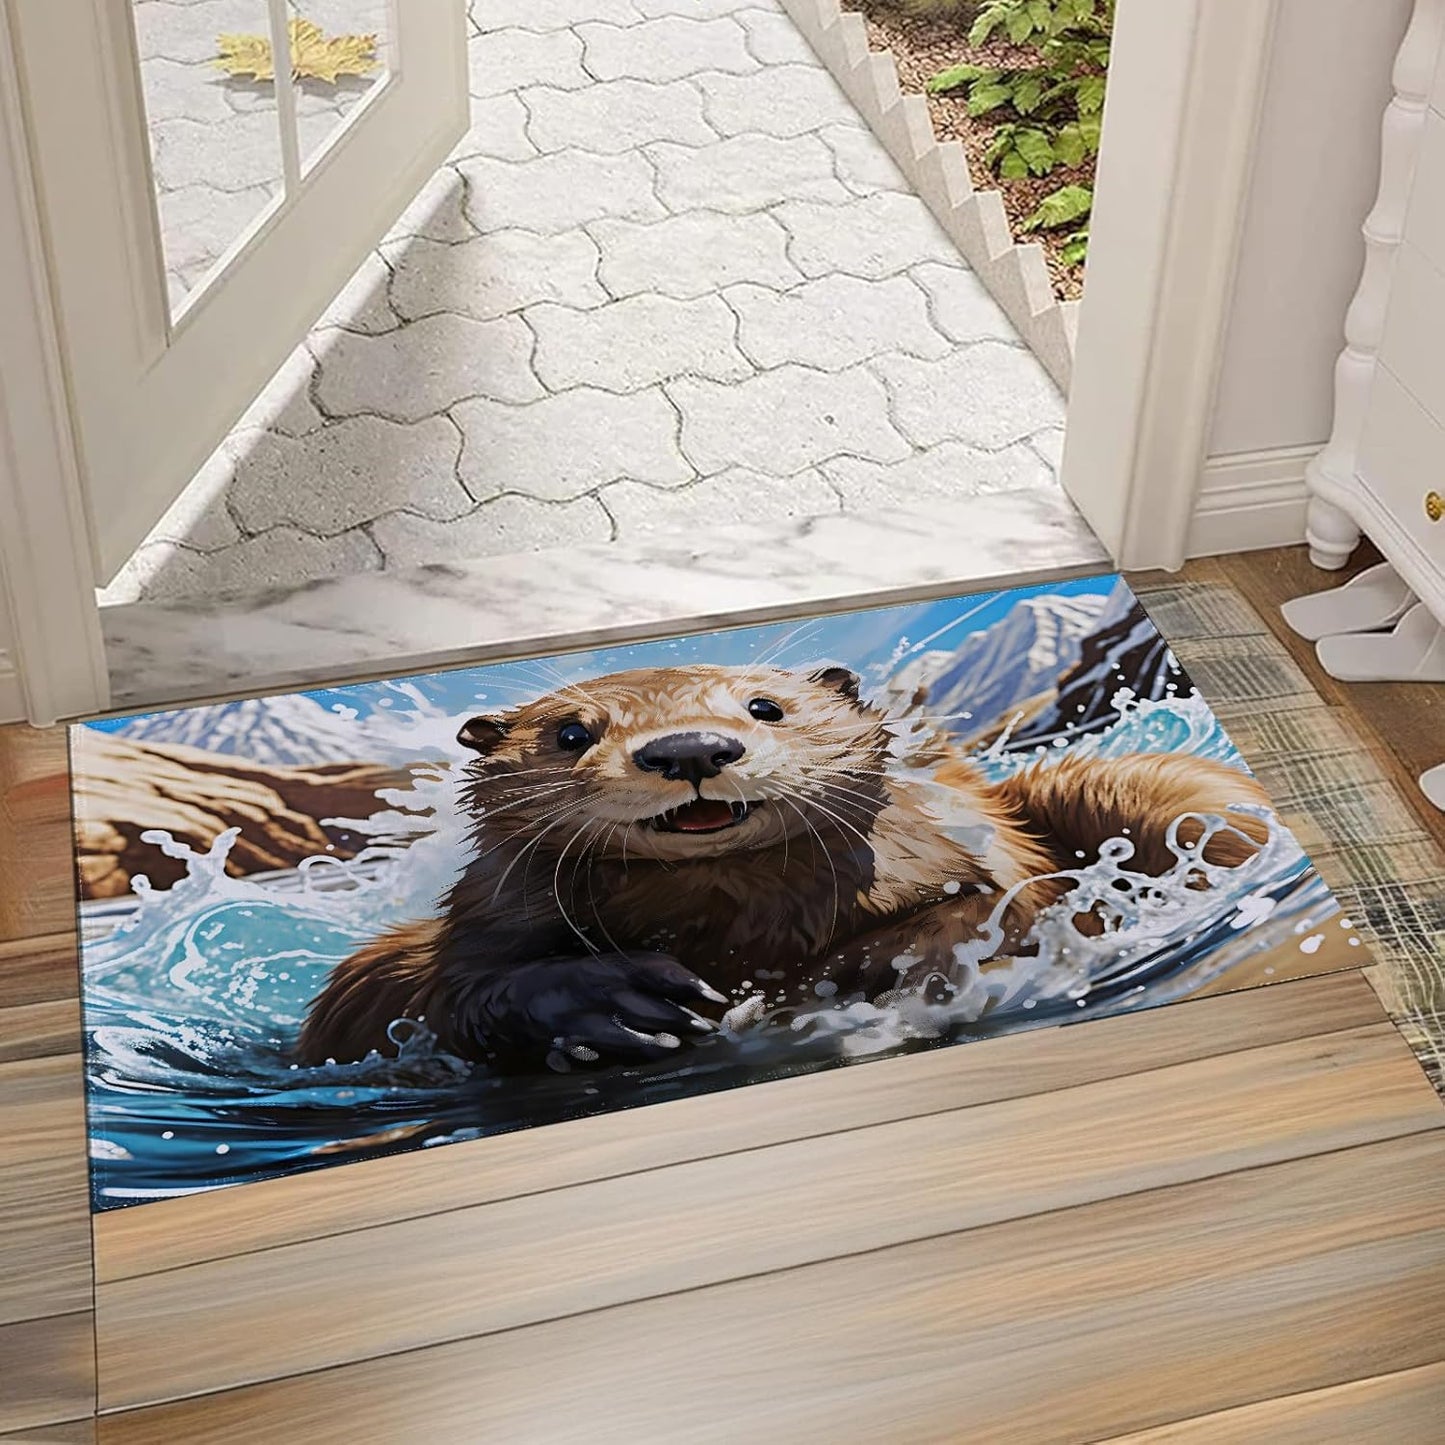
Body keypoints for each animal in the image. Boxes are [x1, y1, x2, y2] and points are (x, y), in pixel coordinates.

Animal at [297, 663, 1269, 1071]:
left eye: (764, 705)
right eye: (571, 732)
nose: (689, 748)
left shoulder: (978, 836)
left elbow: (1015, 903)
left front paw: (879, 968)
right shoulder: (482, 917)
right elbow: (464, 990)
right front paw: (617, 1001)